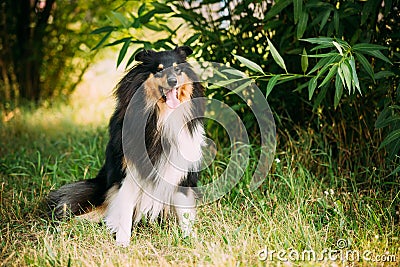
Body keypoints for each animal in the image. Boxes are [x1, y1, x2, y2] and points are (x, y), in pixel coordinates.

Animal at [48, 46, 205, 247]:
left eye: (178, 69)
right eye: (159, 70)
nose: (172, 81)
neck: (162, 118)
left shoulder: (181, 173)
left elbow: (184, 211)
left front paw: (190, 238)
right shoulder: (128, 174)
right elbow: (125, 211)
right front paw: (122, 243)